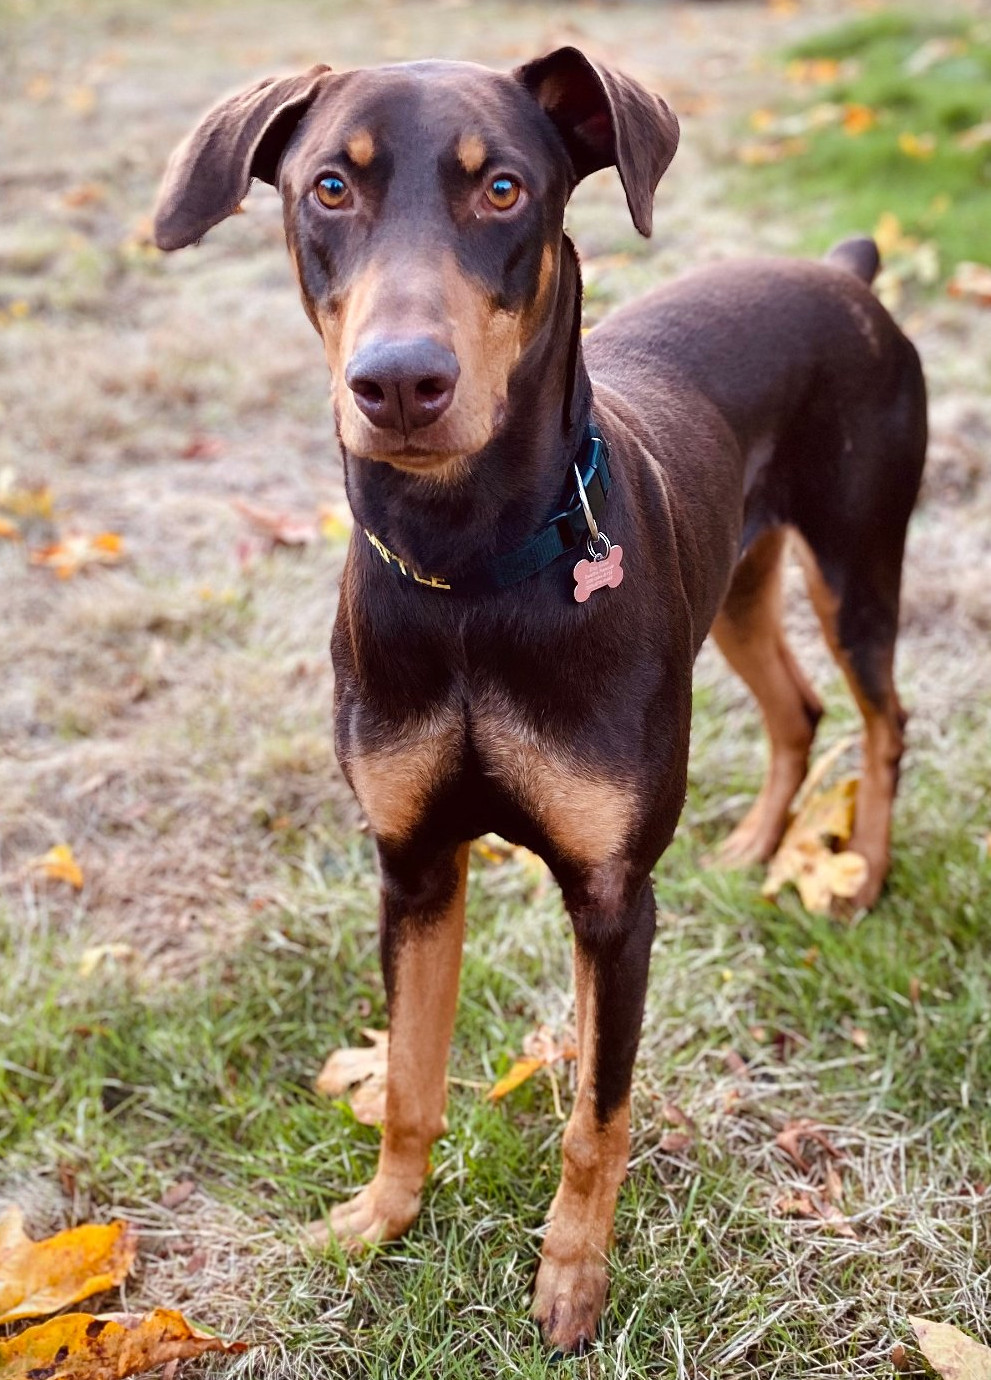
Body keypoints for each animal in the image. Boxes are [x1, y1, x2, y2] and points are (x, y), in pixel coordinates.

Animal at [155, 51, 933, 1346]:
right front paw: (380, 1219)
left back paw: (860, 870)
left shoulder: (613, 903)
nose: (399, 382)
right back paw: (753, 845)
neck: (470, 570)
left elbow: (595, 1115)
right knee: (795, 710)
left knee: (878, 717)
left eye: (504, 187)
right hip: (734, 587)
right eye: (328, 187)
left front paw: (571, 1278)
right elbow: (409, 1077)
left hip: (855, 561)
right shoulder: (414, 863)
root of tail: (843, 271)